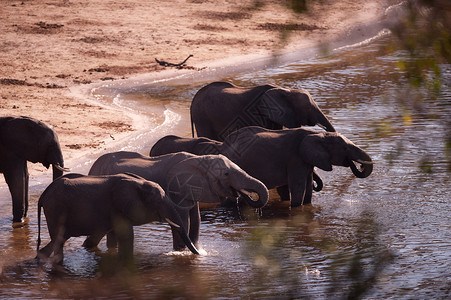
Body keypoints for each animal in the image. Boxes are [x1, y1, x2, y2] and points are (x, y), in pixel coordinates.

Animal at [38, 172, 200, 266]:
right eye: (158, 202)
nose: (202, 253)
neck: (139, 184)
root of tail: (43, 194)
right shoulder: (117, 208)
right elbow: (127, 236)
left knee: (57, 241)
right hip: (55, 209)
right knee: (58, 241)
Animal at [90, 152, 270, 251]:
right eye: (226, 174)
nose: (242, 195)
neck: (199, 160)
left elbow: (196, 218)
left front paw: (198, 251)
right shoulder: (177, 189)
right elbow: (184, 220)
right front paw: (182, 252)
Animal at [149, 126, 374, 206]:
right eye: (344, 149)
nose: (358, 166)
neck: (315, 134)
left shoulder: (305, 160)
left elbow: (308, 186)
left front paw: (307, 207)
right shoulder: (295, 158)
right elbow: (299, 186)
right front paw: (296, 209)